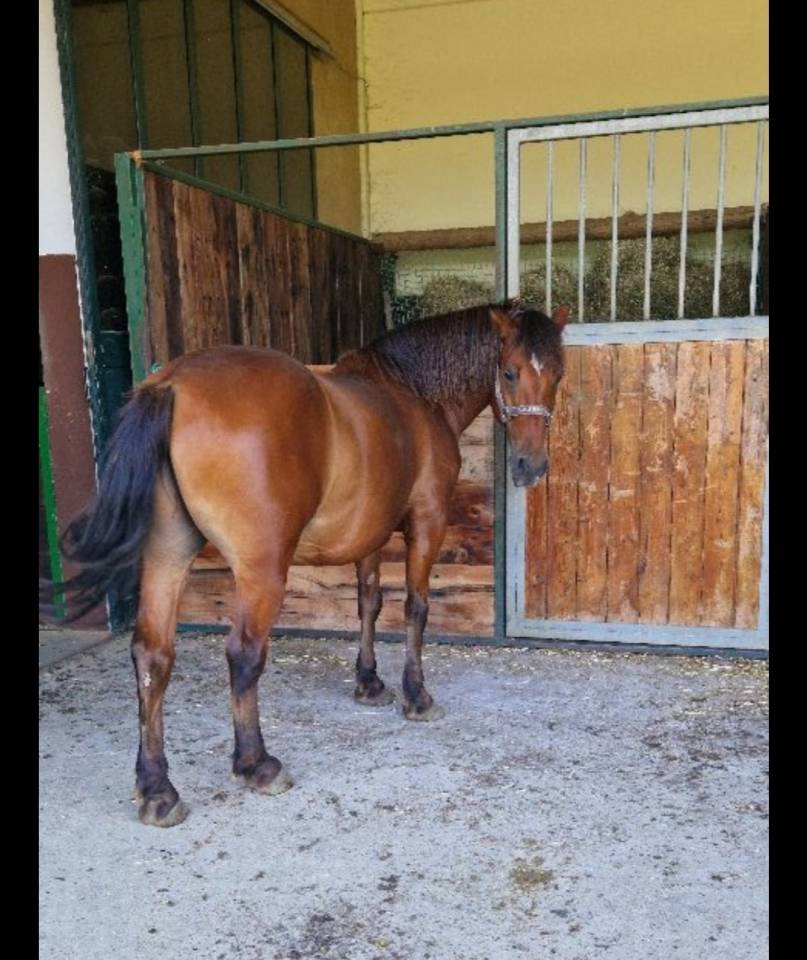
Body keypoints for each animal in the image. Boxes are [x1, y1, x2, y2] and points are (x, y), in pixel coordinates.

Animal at [47, 301, 568, 827]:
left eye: (558, 375)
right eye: (509, 372)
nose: (531, 466)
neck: (414, 393)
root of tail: (171, 385)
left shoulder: (371, 533)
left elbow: (369, 603)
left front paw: (369, 682)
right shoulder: (427, 522)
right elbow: (415, 608)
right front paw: (416, 696)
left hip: (166, 555)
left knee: (153, 655)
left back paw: (157, 790)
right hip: (261, 569)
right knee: (243, 654)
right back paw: (257, 764)